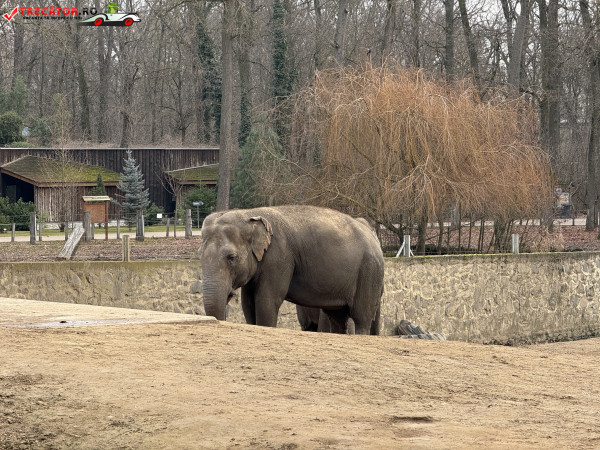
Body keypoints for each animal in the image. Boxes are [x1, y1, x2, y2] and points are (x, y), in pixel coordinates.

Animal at [199, 205, 384, 335]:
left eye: (231, 257)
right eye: (199, 255)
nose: (229, 295)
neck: (248, 213)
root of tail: (372, 234)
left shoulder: (279, 257)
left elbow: (267, 300)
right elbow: (248, 303)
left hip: (369, 271)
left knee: (362, 318)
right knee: (337, 316)